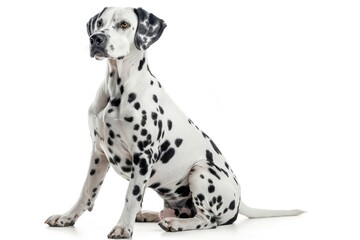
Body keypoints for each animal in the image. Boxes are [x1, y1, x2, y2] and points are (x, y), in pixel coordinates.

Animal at [45, 7, 304, 238]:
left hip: (201, 171)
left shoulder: (143, 156)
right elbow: (86, 192)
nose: (96, 38)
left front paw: (123, 227)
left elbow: (131, 196)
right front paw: (67, 217)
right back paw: (151, 215)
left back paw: (176, 224)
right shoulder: (98, 153)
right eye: (99, 23)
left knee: (208, 220)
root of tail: (240, 199)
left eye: (124, 24)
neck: (117, 89)